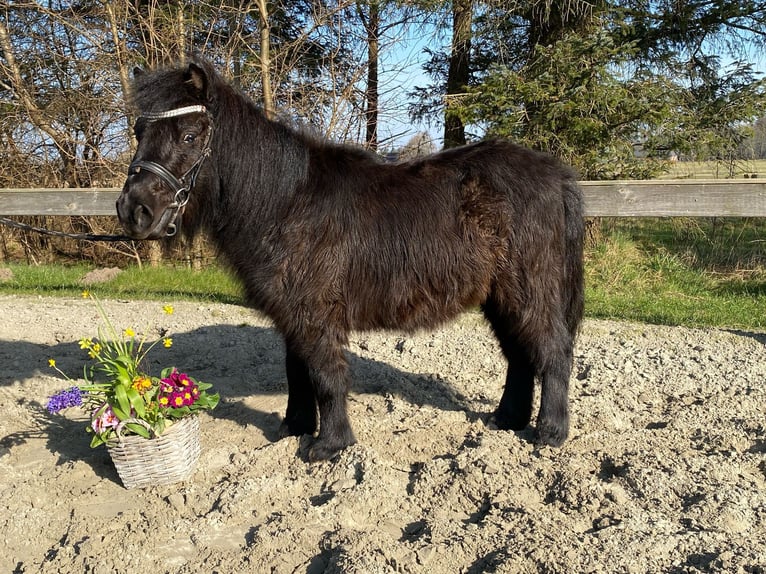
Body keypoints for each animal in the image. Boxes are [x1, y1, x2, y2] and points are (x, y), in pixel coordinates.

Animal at [117, 56, 584, 464]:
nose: (133, 211)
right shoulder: (293, 315)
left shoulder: (315, 314)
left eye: (189, 136)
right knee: (521, 356)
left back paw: (550, 432)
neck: (284, 202)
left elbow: (326, 376)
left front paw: (330, 445)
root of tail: (556, 175)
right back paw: (508, 420)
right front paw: (294, 429)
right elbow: (298, 372)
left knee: (553, 352)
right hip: (500, 295)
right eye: (139, 131)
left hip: (528, 289)